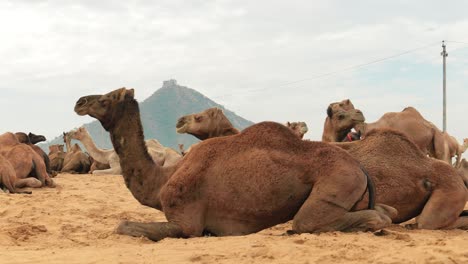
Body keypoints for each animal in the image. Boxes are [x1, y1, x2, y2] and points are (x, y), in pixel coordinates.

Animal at [73, 86, 394, 241]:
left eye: (108, 98)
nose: (80, 101)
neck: (163, 179)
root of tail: (359, 167)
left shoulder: (185, 222)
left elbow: (123, 225)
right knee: (383, 211)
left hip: (337, 179)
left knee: (311, 222)